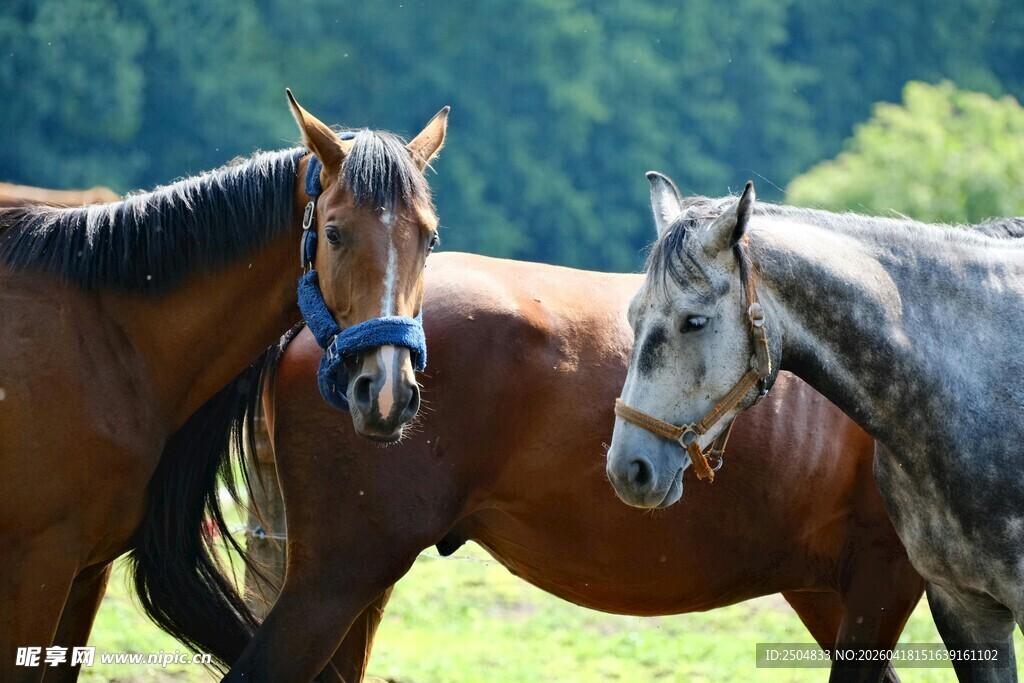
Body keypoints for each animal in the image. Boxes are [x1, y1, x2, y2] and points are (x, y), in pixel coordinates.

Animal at [0, 90, 448, 680]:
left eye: (429, 238)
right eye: (333, 233)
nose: (388, 393)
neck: (100, 334)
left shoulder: (83, 574)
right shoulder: (35, 569)